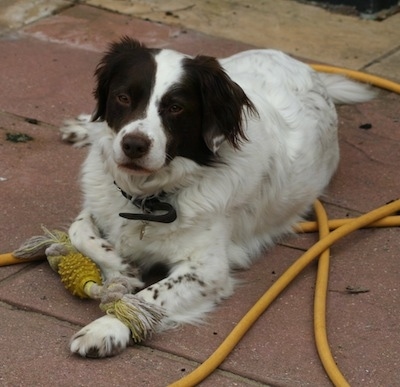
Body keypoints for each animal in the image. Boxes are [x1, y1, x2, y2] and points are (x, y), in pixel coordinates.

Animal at [61, 37, 374, 358]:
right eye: (123, 97)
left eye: (176, 107)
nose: (133, 145)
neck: (150, 197)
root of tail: (299, 64)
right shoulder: (101, 202)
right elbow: (78, 231)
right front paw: (120, 266)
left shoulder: (208, 270)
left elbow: (151, 297)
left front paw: (107, 327)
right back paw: (83, 126)